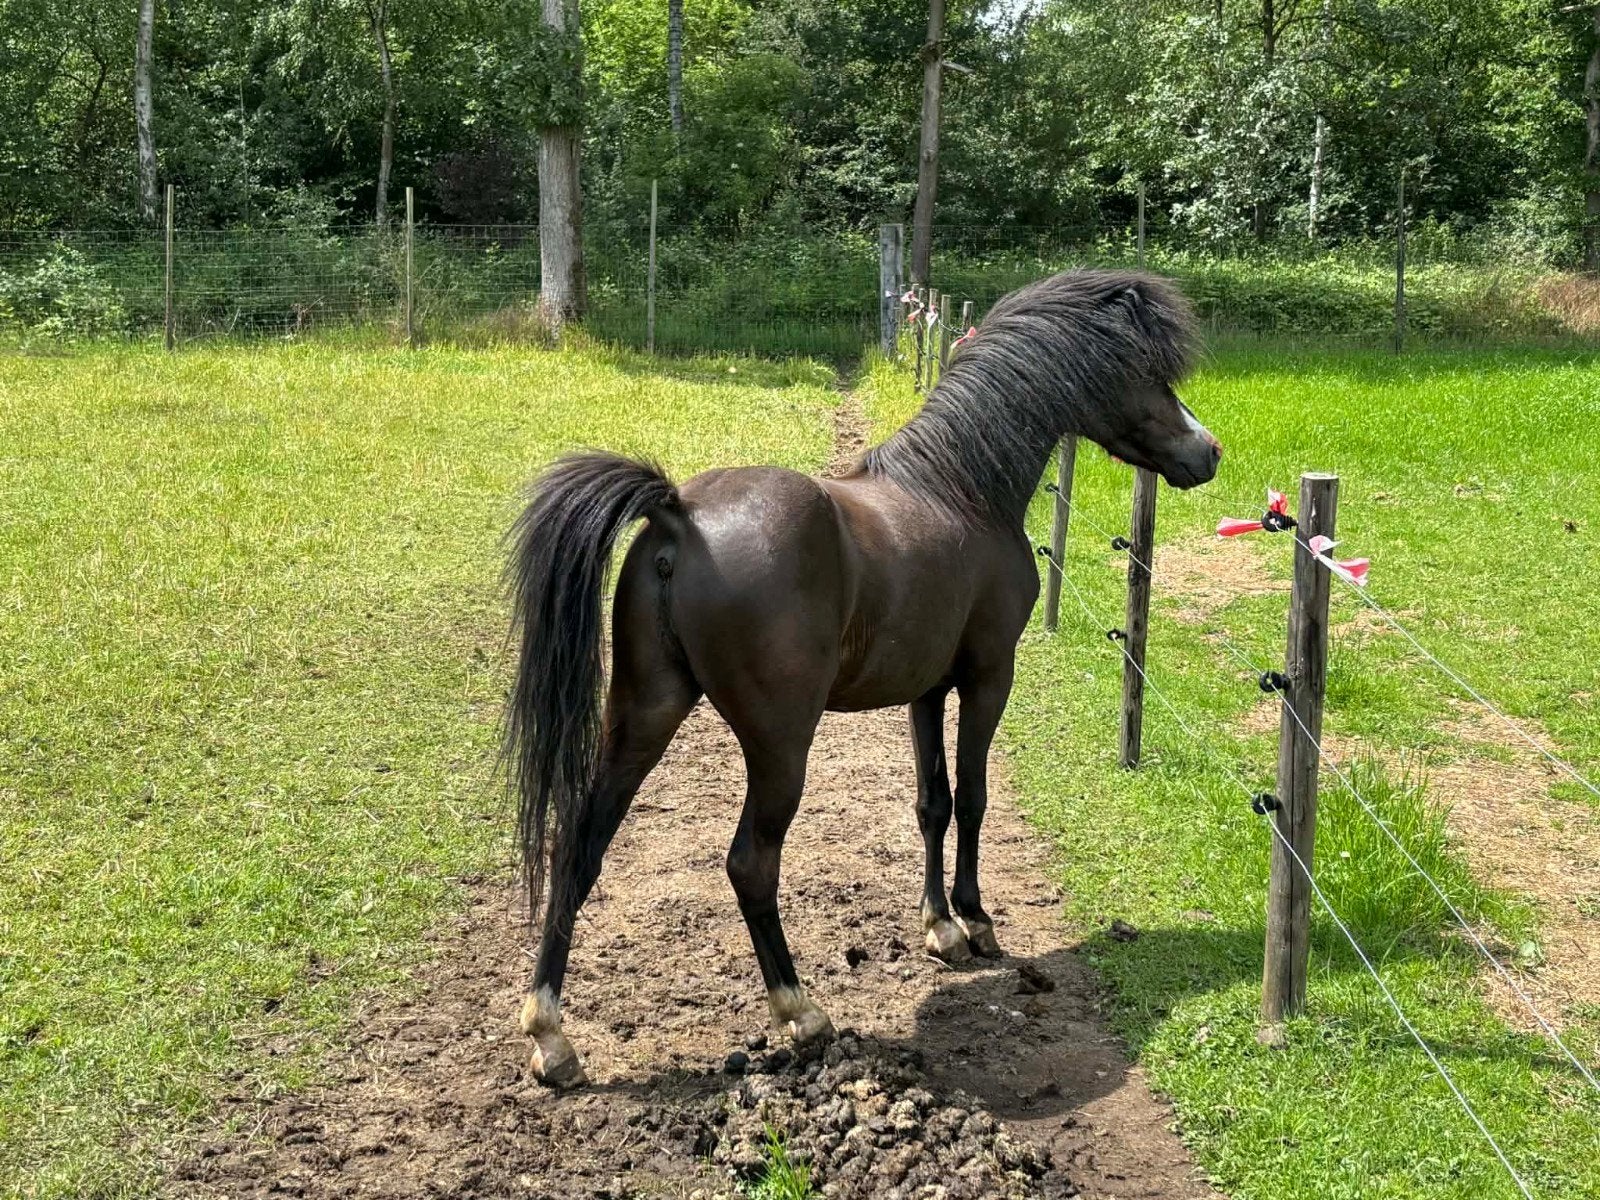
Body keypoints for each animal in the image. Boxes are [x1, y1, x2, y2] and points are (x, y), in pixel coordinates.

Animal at [503, 268, 1221, 1087]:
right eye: (1151, 372)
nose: (1209, 451)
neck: (959, 489)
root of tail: (678, 514)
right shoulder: (987, 677)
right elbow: (974, 797)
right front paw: (976, 921)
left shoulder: (926, 690)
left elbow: (932, 803)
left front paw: (939, 927)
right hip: (779, 745)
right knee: (751, 865)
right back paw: (802, 1012)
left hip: (644, 713)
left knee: (579, 847)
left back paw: (552, 1036)